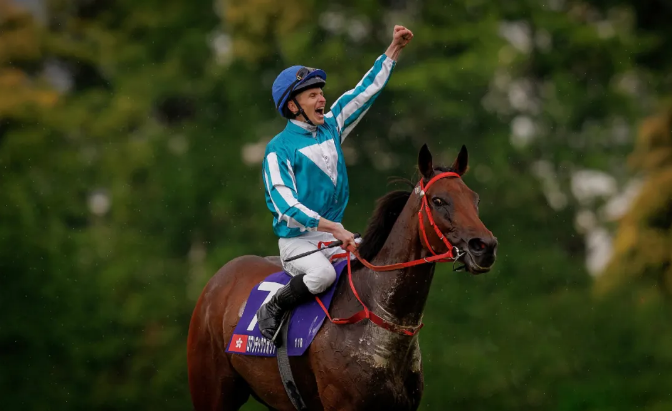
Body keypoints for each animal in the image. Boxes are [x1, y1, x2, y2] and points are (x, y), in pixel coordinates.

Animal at [187, 144, 498, 411]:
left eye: (475, 199)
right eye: (438, 200)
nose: (484, 246)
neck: (376, 319)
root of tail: (219, 278)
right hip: (212, 390)